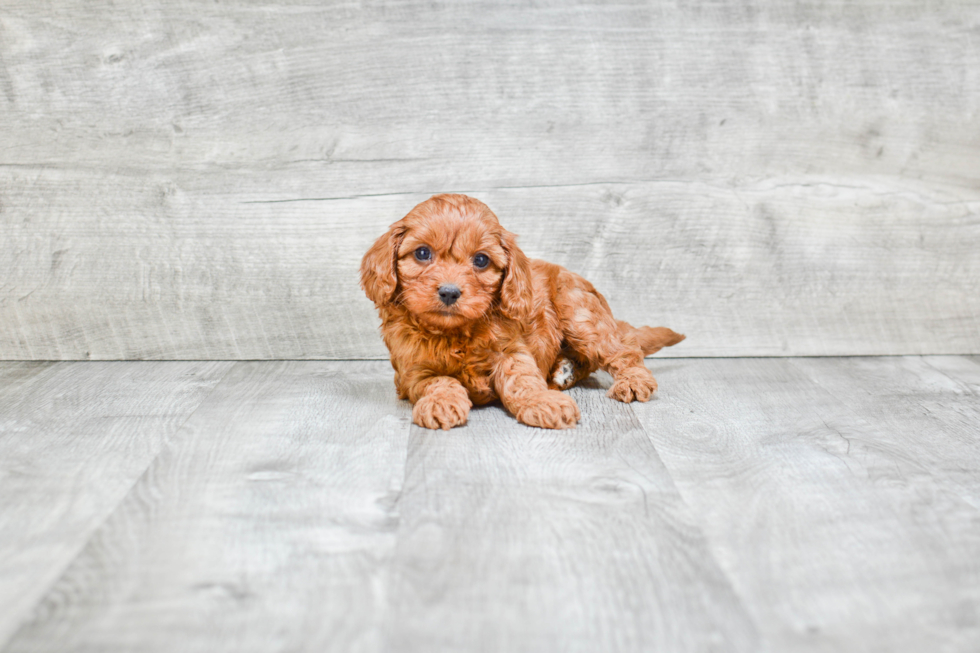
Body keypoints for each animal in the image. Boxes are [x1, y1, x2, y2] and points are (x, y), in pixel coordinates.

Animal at [356, 192, 684, 428]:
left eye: (481, 260)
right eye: (422, 253)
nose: (449, 291)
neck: (455, 333)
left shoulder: (512, 350)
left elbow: (522, 380)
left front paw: (542, 403)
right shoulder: (411, 372)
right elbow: (438, 381)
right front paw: (441, 403)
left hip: (581, 316)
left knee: (622, 349)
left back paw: (631, 381)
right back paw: (565, 370)